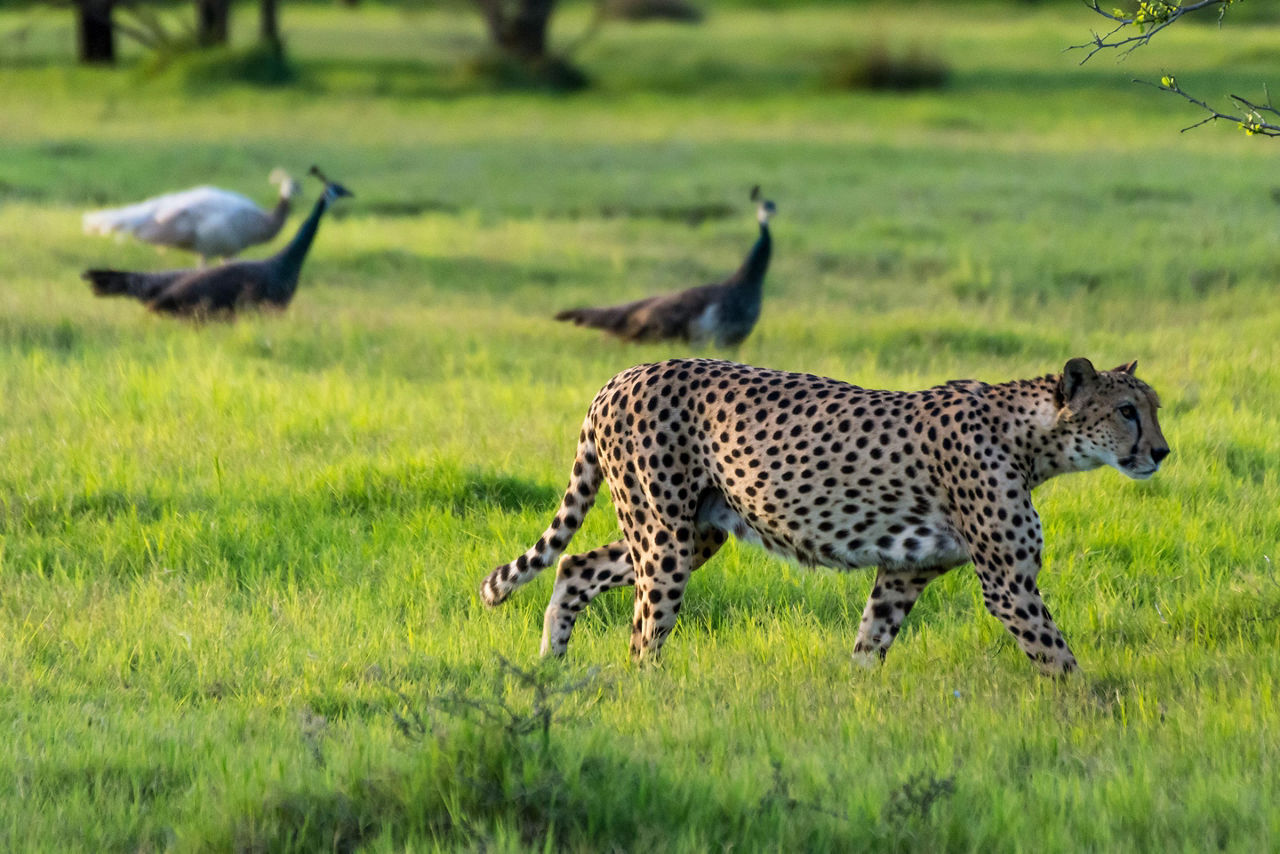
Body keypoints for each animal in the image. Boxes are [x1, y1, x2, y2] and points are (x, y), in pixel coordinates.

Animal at [481, 355, 1172, 676]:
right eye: (1126, 411)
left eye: (1153, 409)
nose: (1162, 452)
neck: (1031, 436)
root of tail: (622, 375)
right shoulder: (1008, 584)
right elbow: (1061, 660)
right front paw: (1096, 716)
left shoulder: (904, 572)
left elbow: (869, 645)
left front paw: (858, 703)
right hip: (664, 536)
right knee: (642, 635)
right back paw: (644, 693)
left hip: (692, 533)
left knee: (574, 565)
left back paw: (551, 666)